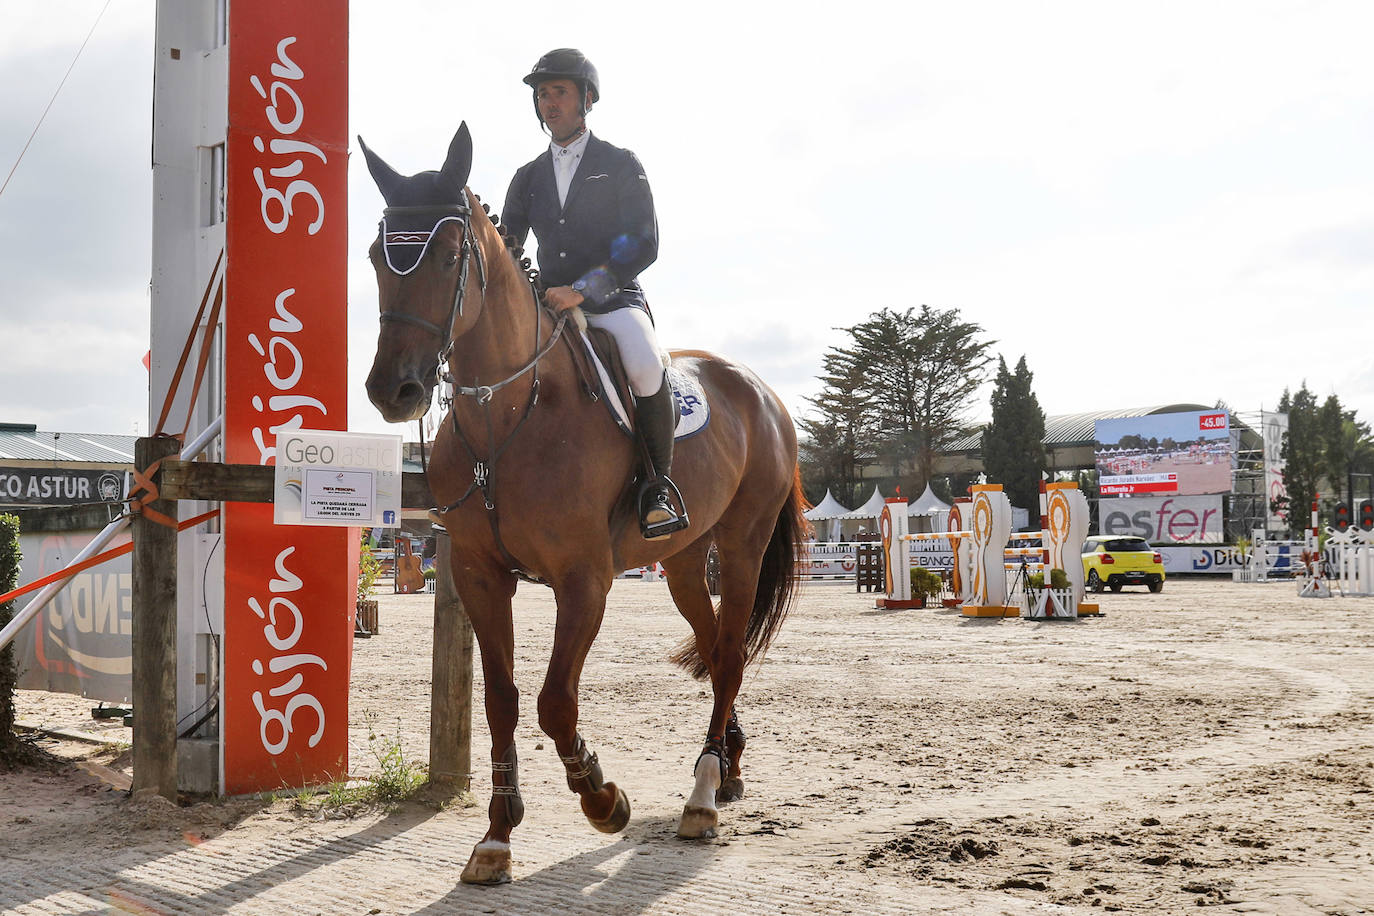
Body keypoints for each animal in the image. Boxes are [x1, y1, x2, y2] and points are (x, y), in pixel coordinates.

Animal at [359, 125, 802, 884]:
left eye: (447, 256)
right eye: (372, 256)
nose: (395, 390)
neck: (509, 416)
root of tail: (759, 389)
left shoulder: (583, 578)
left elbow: (554, 702)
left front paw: (601, 797)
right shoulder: (479, 575)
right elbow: (503, 701)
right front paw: (496, 836)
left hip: (741, 544)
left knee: (729, 656)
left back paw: (702, 795)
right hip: (685, 560)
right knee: (718, 645)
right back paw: (727, 766)